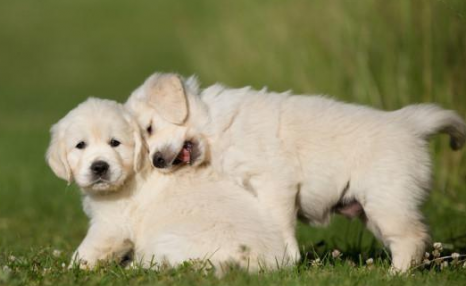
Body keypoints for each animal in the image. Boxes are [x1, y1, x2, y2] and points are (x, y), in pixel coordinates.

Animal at [44, 98, 292, 272]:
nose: (99, 167)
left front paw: (69, 270)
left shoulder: (111, 225)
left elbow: (88, 251)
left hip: (168, 239)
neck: (133, 172)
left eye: (115, 143)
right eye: (80, 145)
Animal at [124, 72, 466, 272]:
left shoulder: (274, 180)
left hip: (387, 199)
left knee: (412, 238)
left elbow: (279, 224)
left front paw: (285, 259)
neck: (217, 129)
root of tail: (411, 123)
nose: (156, 161)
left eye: (150, 128)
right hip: (378, 209)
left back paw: (396, 274)